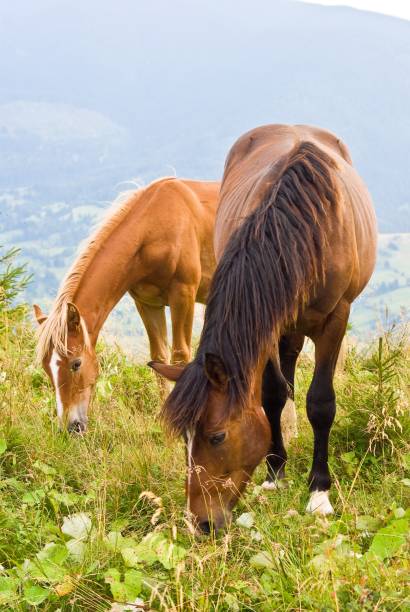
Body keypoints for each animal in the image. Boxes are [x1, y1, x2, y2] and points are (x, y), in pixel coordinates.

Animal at [34, 177, 221, 432]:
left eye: (76, 363)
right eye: (46, 367)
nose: (71, 427)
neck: (155, 228)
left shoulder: (183, 295)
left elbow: (180, 356)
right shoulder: (147, 303)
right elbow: (159, 358)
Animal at [151, 125, 378, 536]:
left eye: (217, 436)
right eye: (184, 439)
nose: (201, 523)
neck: (304, 228)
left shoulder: (336, 320)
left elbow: (321, 403)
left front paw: (319, 493)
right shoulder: (271, 323)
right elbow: (271, 395)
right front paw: (275, 474)